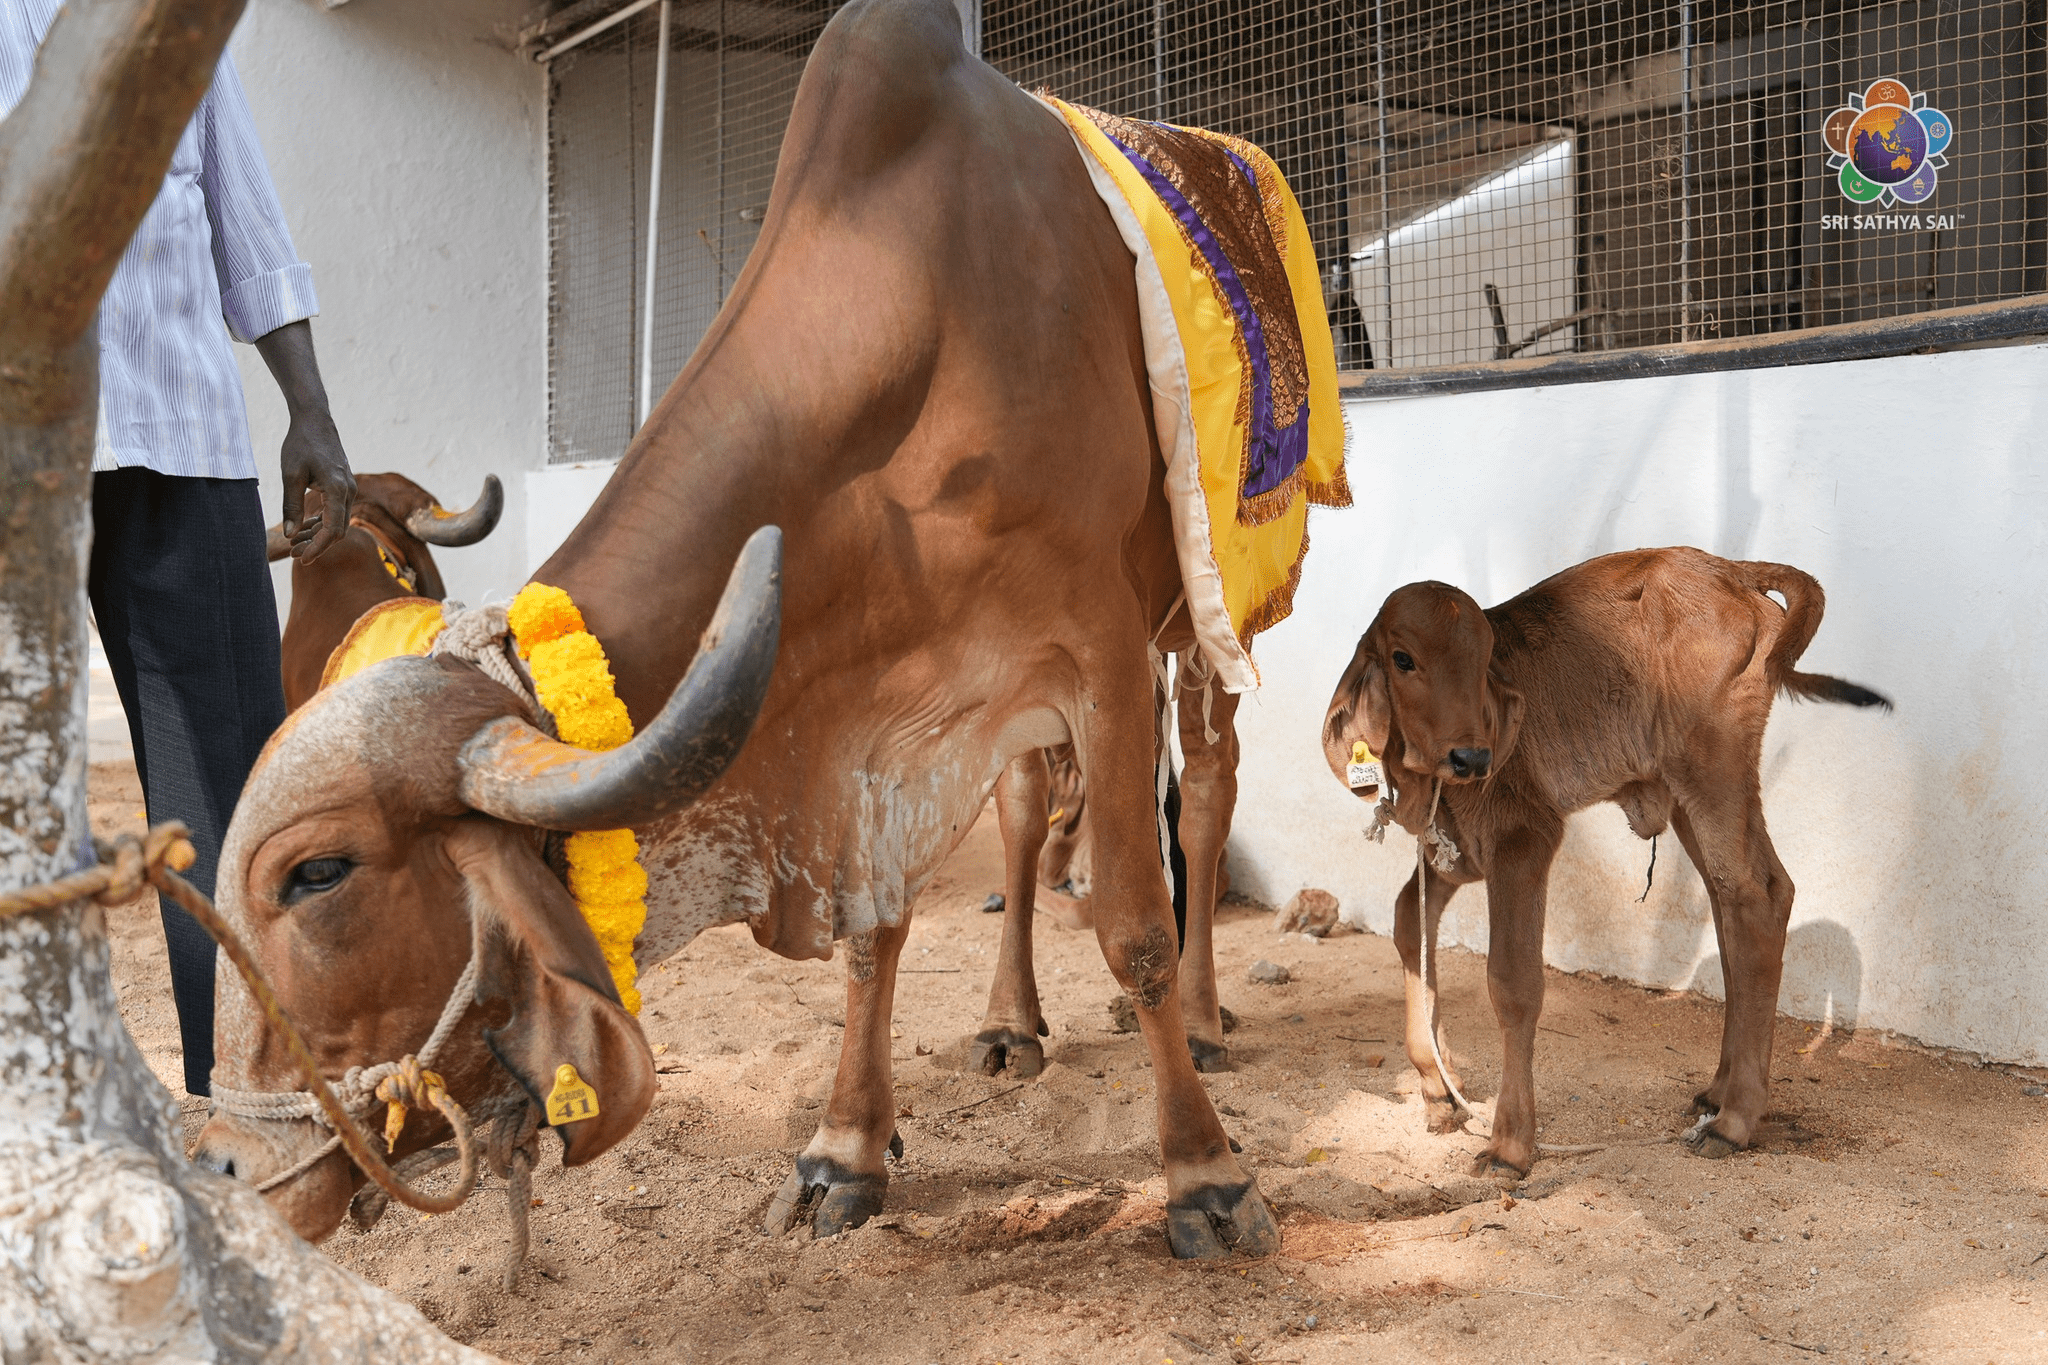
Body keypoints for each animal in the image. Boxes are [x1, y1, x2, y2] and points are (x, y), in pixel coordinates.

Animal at [1318, 548, 1890, 1177]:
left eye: (1484, 658)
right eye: (1403, 659)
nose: (1472, 757)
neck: (1433, 785)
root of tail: (1729, 569)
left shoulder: (1524, 838)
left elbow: (1512, 982)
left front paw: (1510, 1144)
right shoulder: (1454, 853)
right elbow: (1408, 921)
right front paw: (1437, 1088)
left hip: (1713, 772)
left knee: (1757, 896)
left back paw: (1736, 1119)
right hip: (1689, 797)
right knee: (1737, 902)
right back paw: (1718, 1091)